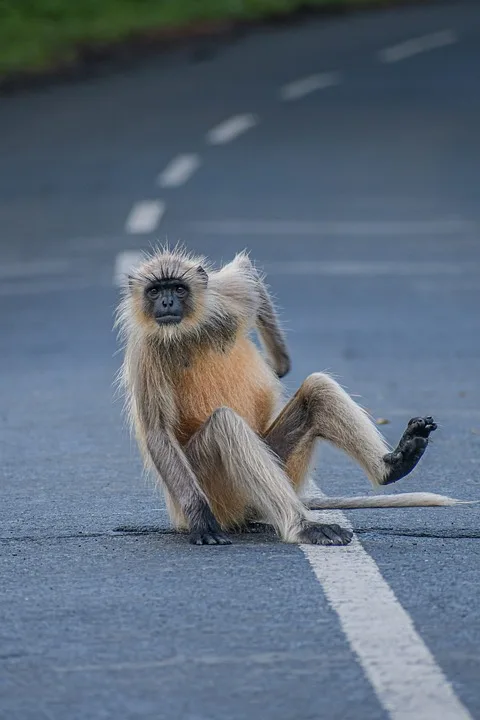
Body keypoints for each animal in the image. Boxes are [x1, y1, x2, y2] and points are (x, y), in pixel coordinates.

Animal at [116, 246, 472, 544]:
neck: (185, 332)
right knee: (225, 426)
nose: (166, 303)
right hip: (215, 490)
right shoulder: (147, 350)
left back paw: (397, 463)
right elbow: (158, 431)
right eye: (155, 290)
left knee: (317, 390)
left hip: (281, 465)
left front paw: (279, 366)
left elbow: (248, 276)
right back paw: (302, 525)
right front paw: (201, 520)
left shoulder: (221, 297)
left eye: (177, 288)